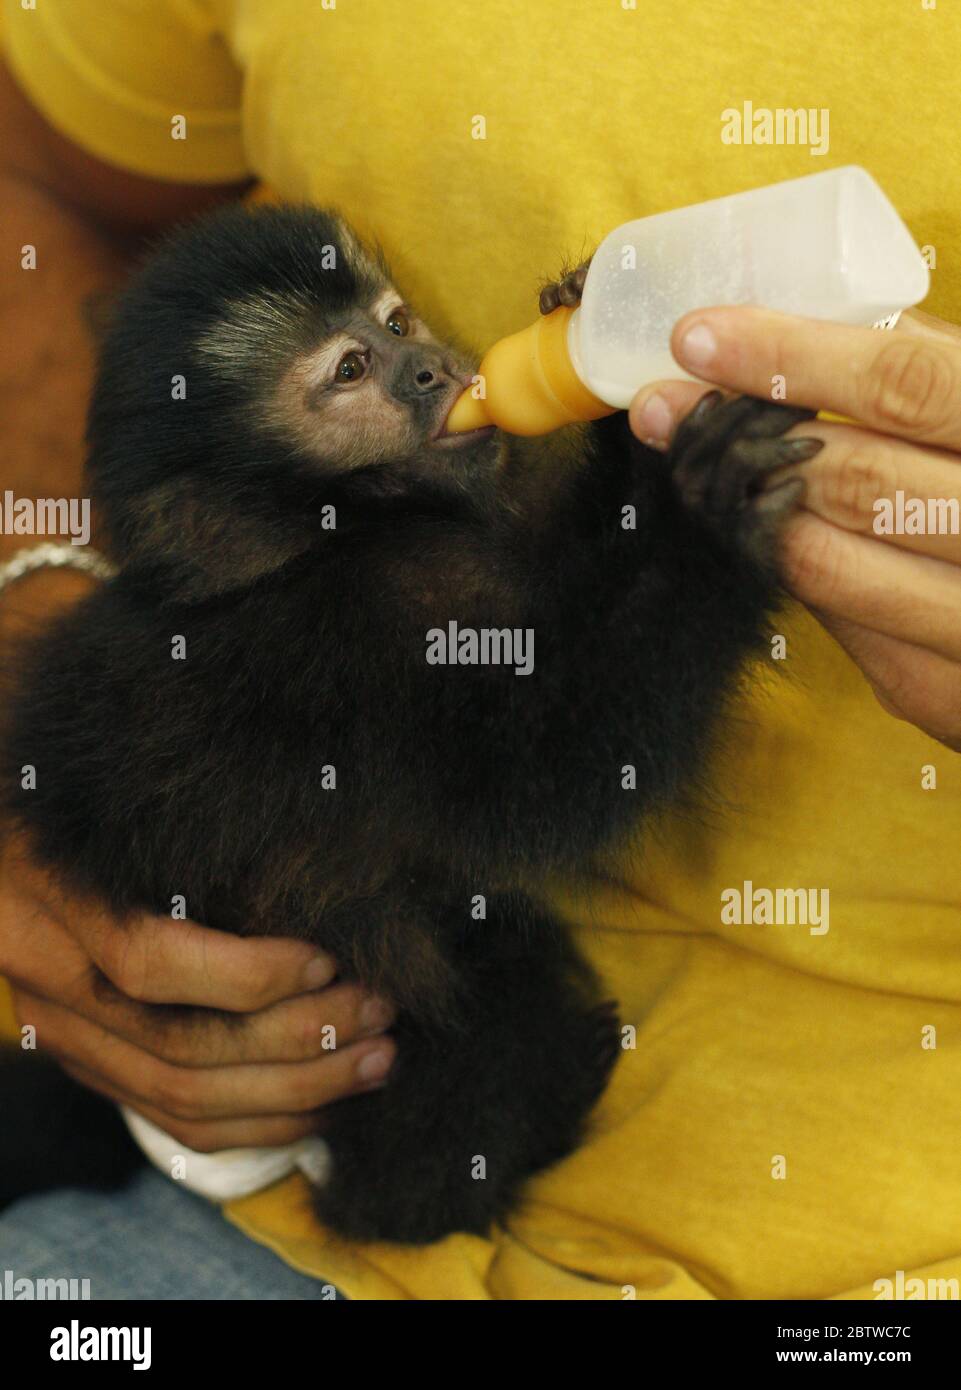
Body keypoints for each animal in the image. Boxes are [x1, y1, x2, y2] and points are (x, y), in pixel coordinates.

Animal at [0, 201, 823, 1245]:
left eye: (394, 323)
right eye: (350, 373)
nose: (430, 366)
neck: (323, 538)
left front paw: (601, 348)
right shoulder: (356, 637)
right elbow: (549, 771)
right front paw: (697, 501)